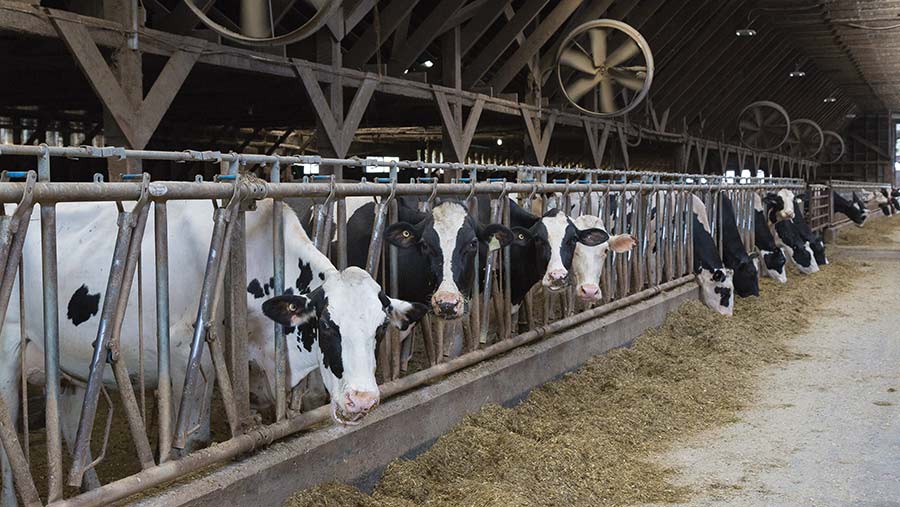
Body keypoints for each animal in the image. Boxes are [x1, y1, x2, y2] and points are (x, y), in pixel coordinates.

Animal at [2, 200, 426, 506]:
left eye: (379, 329)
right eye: (326, 325)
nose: (362, 399)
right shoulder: (185, 357)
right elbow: (196, 437)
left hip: (69, 367)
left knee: (72, 425)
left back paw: (90, 488)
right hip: (8, 354)